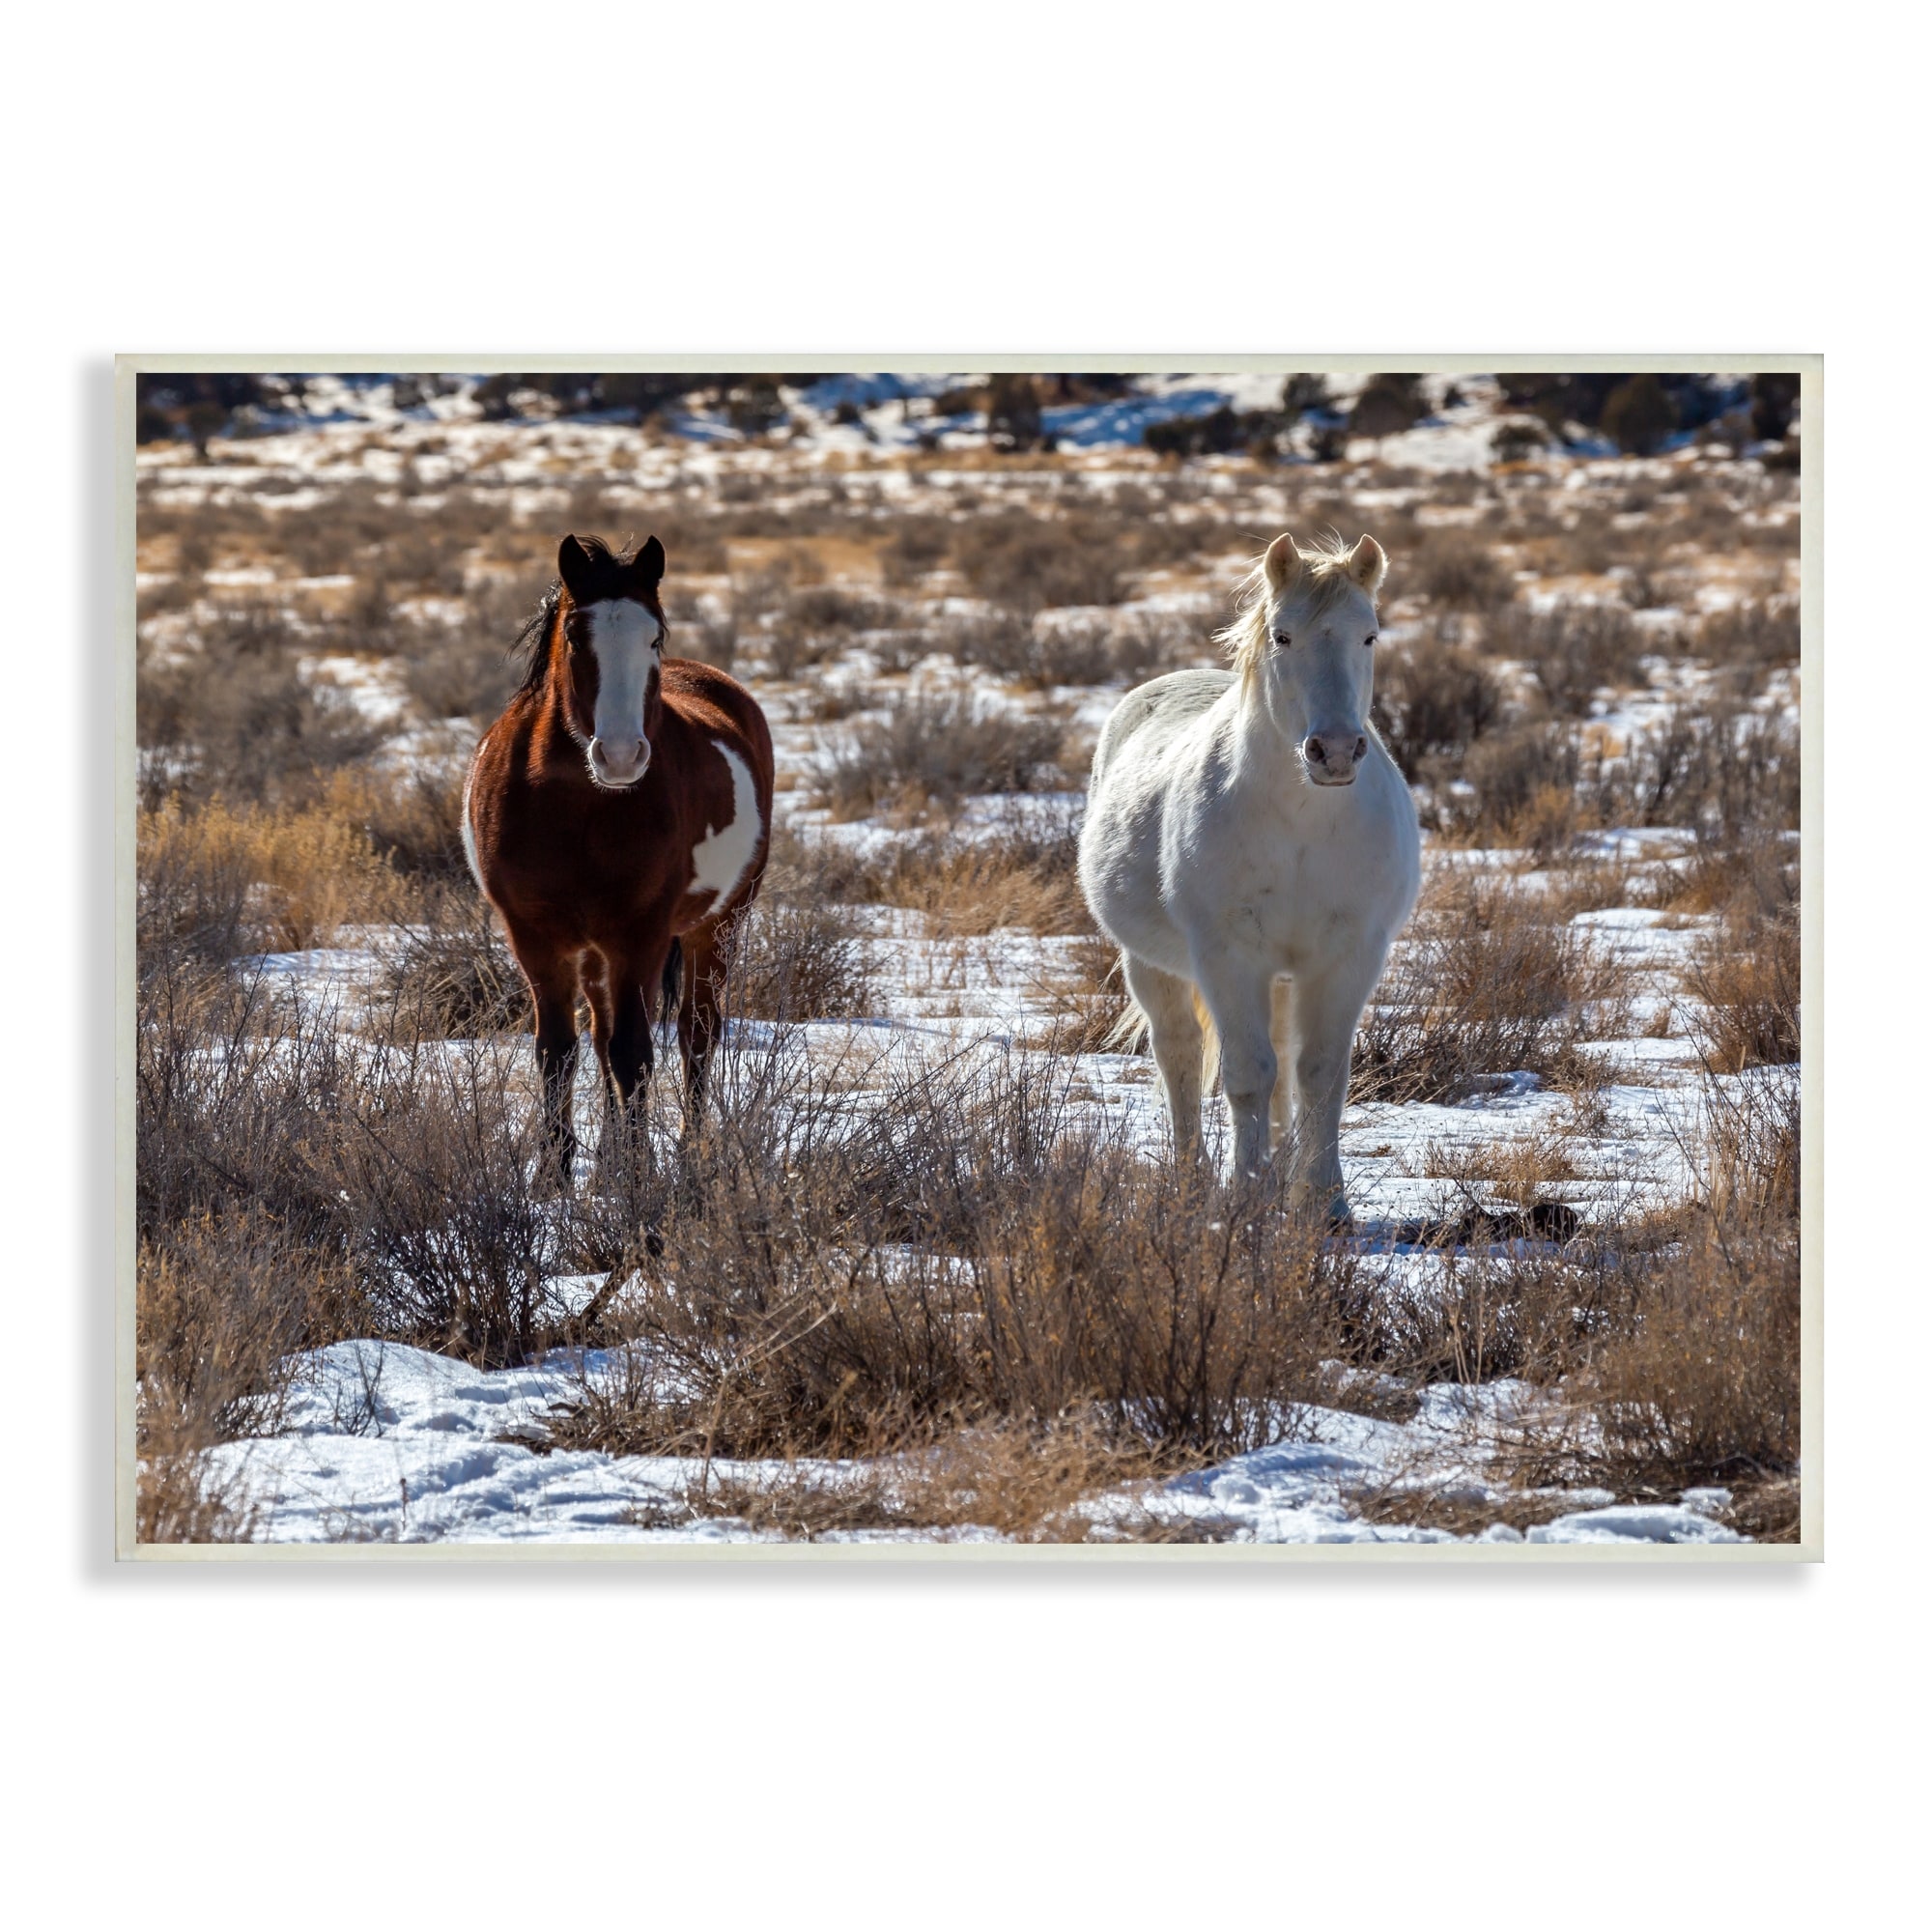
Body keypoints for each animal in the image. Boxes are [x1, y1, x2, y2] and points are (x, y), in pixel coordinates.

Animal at [463, 533, 775, 1182]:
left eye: (653, 636)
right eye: (575, 636)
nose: (622, 755)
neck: (579, 806)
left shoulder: (642, 933)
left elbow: (635, 1052)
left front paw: (637, 1177)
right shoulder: (536, 936)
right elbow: (559, 1050)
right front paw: (555, 1177)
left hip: (717, 925)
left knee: (695, 1033)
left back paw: (685, 1151)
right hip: (595, 951)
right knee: (604, 1032)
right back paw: (609, 1156)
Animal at [1076, 531, 1420, 1220]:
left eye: (1369, 636)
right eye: (1283, 636)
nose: (1333, 752)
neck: (1302, 824)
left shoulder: (1348, 957)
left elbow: (1320, 1073)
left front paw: (1325, 1204)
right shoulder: (1229, 958)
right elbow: (1247, 1074)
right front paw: (1248, 1197)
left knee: (1285, 1060)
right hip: (1150, 966)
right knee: (1179, 1055)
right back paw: (1192, 1185)